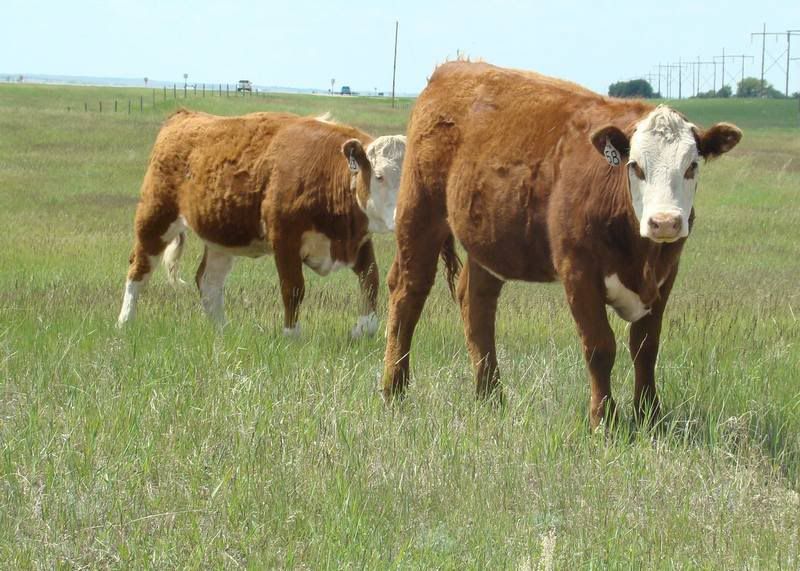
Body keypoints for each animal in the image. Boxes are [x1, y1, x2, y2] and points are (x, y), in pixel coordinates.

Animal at [116, 110, 406, 337]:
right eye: (379, 176)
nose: (400, 216)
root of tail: (183, 116)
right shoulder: (285, 239)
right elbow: (293, 288)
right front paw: (292, 336)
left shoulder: (357, 241)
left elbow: (371, 282)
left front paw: (361, 329)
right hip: (155, 219)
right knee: (138, 269)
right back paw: (125, 322)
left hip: (221, 238)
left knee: (209, 282)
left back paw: (224, 331)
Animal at [382, 61, 741, 428]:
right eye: (636, 166)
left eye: (692, 166)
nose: (665, 221)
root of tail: (451, 69)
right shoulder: (578, 270)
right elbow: (600, 346)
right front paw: (604, 420)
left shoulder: (665, 275)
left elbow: (645, 347)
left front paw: (648, 415)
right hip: (419, 215)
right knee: (407, 293)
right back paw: (394, 390)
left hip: (488, 239)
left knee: (476, 302)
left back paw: (491, 397)